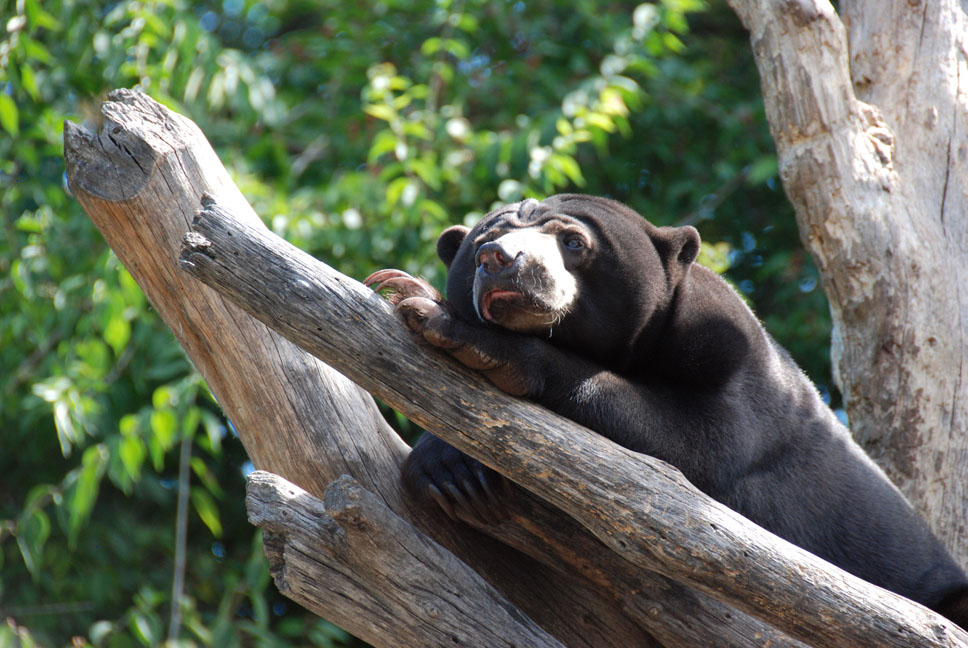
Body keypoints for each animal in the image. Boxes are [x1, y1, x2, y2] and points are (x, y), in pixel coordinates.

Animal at [365, 193, 968, 627]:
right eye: (486, 241)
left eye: (573, 241)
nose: (500, 260)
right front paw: (452, 472)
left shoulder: (731, 355)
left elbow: (697, 446)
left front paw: (439, 316)